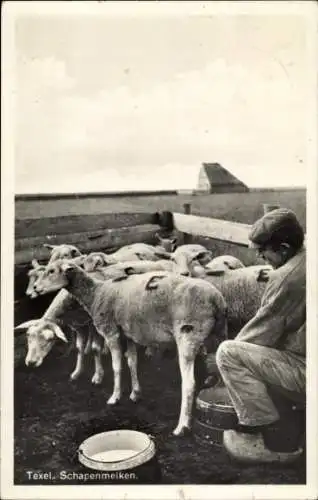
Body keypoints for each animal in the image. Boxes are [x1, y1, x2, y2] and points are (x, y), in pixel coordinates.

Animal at [32, 260, 227, 436]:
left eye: (51, 271)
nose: (35, 288)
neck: (96, 293)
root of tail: (217, 300)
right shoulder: (129, 334)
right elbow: (132, 362)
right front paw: (135, 393)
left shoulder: (111, 332)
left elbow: (117, 366)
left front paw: (115, 397)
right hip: (219, 335)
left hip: (188, 336)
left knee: (189, 383)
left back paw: (182, 426)